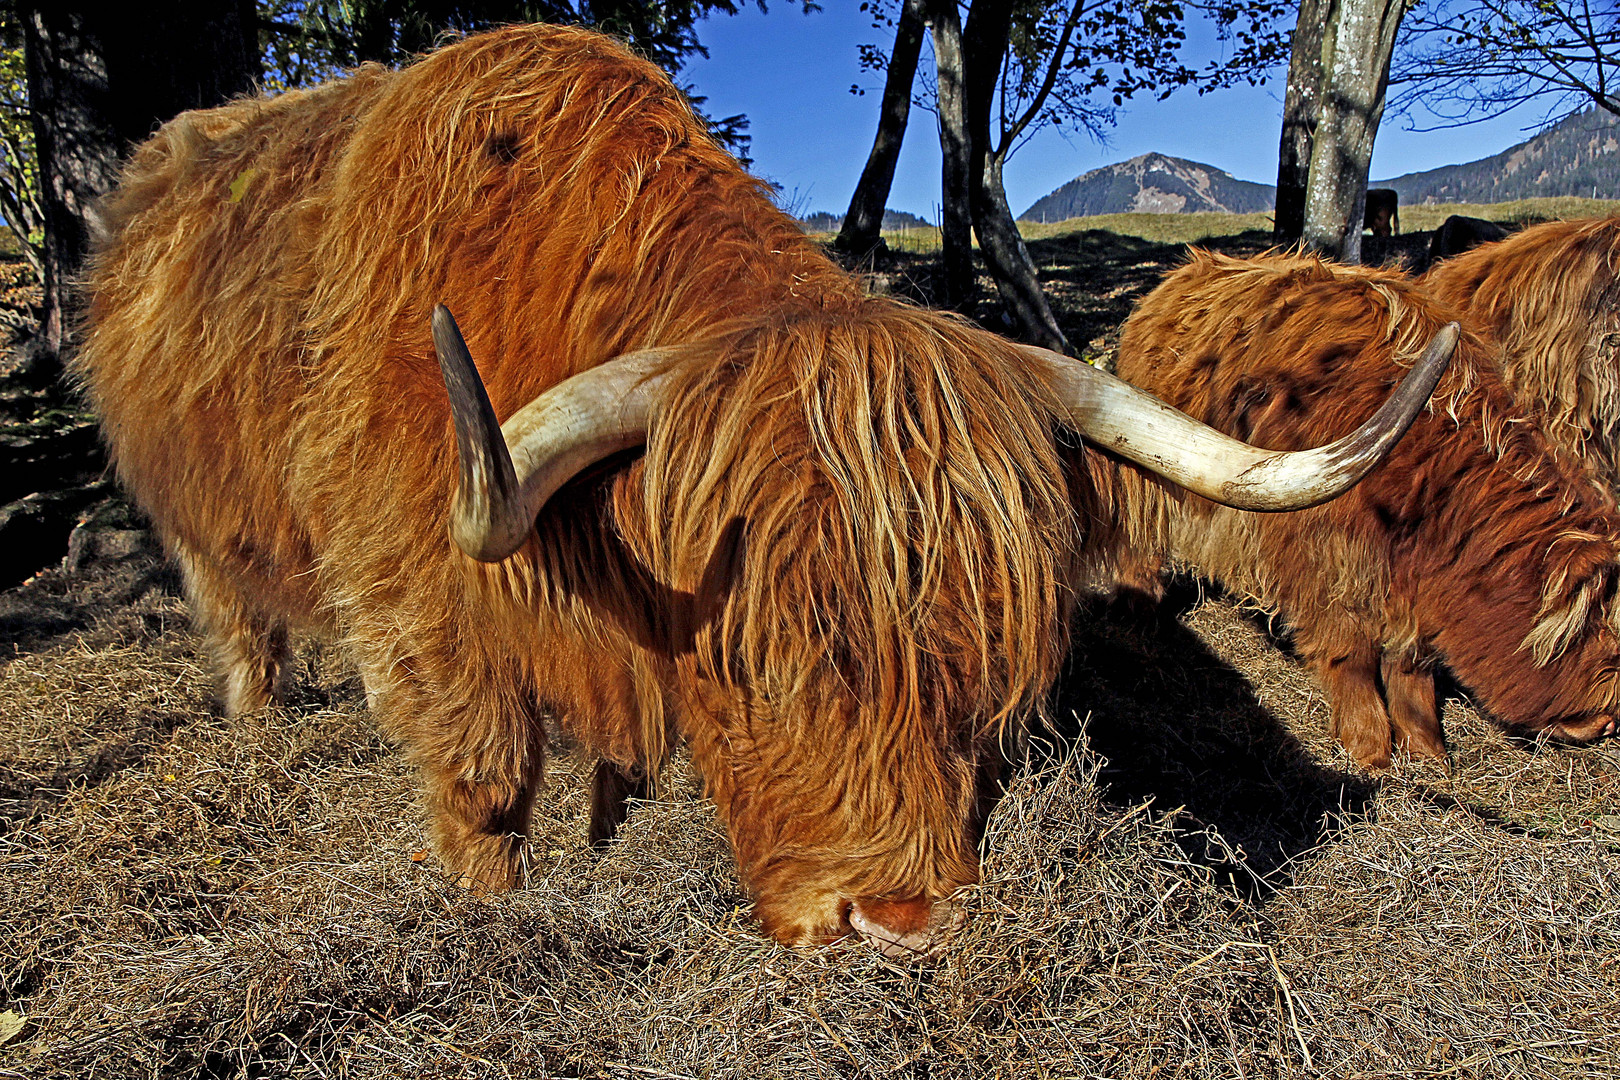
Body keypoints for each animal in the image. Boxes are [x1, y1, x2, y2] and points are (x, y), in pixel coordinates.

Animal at [69, 25, 1451, 952]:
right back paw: (254, 718)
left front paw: (615, 807)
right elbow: (483, 774)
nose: (898, 919)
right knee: (235, 612)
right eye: (757, 665)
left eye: (997, 668)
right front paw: (489, 907)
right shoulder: (415, 596)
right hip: (191, 516)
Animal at [1114, 254, 1620, 773]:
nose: (1606, 725)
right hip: (1153, 468)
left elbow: (1410, 664)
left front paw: (1427, 749)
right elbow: (1351, 651)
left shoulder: (1414, 586)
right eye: (1599, 637)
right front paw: (1369, 747)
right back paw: (1138, 617)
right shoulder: (1331, 560)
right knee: (1140, 542)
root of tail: (1180, 275)